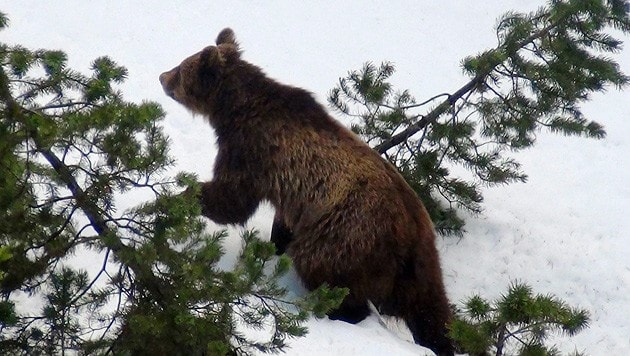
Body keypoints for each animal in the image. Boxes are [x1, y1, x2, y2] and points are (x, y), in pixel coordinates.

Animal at [158, 28, 454, 356]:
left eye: (181, 68)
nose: (162, 76)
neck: (234, 109)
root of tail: (409, 228)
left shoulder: (251, 150)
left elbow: (231, 200)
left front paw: (179, 196)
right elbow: (278, 221)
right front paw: (274, 245)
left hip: (346, 233)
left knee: (325, 269)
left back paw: (335, 311)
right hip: (420, 263)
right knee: (430, 309)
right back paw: (441, 340)